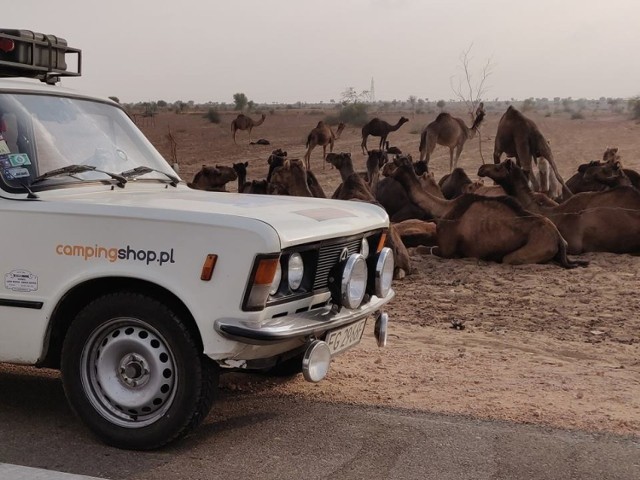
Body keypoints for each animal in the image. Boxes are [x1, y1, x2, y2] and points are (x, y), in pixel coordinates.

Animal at [388, 156, 588, 266]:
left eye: (394, 163)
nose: (384, 169)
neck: (444, 208)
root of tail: (559, 240)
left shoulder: (447, 250)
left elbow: (421, 249)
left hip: (526, 251)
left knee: (510, 259)